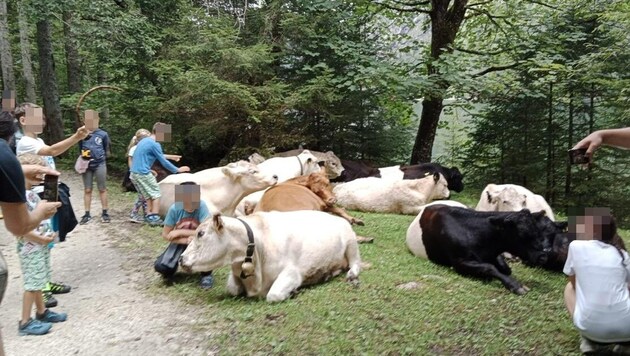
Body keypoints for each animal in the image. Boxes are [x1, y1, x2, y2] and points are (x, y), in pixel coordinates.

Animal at [180, 210, 362, 302]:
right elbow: (232, 289)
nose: (181, 259)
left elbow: (273, 295)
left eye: (201, 233)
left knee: (356, 263)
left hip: (351, 243)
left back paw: (351, 275)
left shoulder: (293, 272)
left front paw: (293, 292)